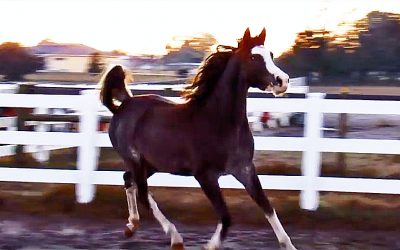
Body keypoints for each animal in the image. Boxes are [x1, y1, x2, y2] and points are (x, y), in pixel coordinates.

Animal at [98, 27, 296, 250]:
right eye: (254, 57)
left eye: (271, 54)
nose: (283, 81)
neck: (219, 122)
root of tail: (122, 106)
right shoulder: (205, 176)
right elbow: (226, 217)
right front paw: (210, 246)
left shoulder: (245, 169)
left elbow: (267, 207)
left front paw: (288, 245)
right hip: (136, 161)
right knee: (141, 193)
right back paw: (175, 238)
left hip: (151, 164)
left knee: (128, 181)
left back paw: (131, 226)